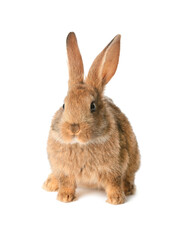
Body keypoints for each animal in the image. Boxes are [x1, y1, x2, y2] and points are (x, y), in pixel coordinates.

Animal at [42, 31, 141, 204]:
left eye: (92, 106)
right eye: (64, 105)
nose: (74, 128)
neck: (81, 144)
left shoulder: (115, 168)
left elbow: (114, 183)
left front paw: (116, 199)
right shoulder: (63, 170)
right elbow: (66, 182)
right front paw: (64, 197)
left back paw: (128, 189)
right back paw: (49, 184)